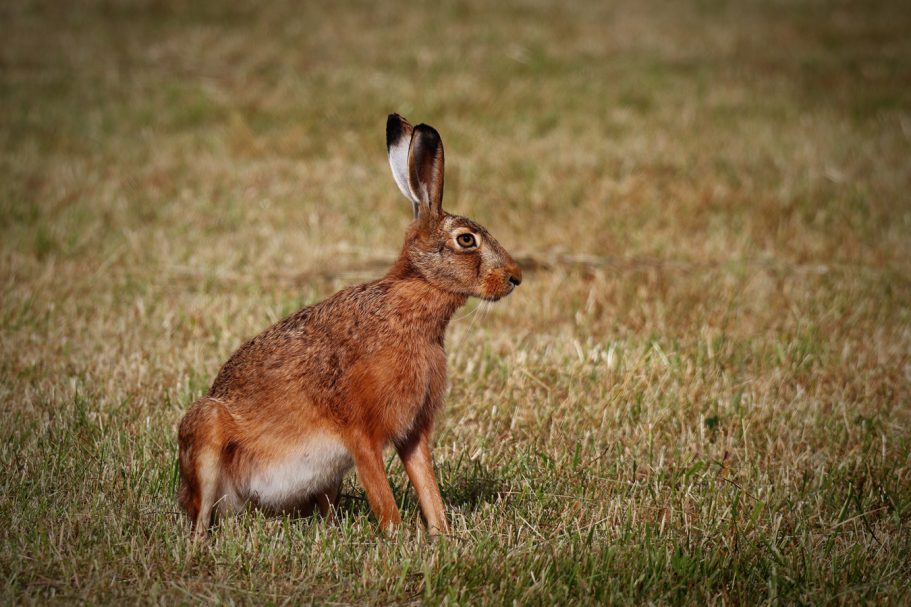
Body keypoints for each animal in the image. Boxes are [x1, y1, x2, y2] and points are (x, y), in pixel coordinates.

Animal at [177, 114, 522, 539]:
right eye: (466, 240)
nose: (516, 277)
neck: (411, 312)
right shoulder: (361, 432)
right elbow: (382, 495)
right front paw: (398, 536)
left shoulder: (413, 432)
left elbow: (427, 484)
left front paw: (441, 534)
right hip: (207, 433)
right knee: (202, 510)